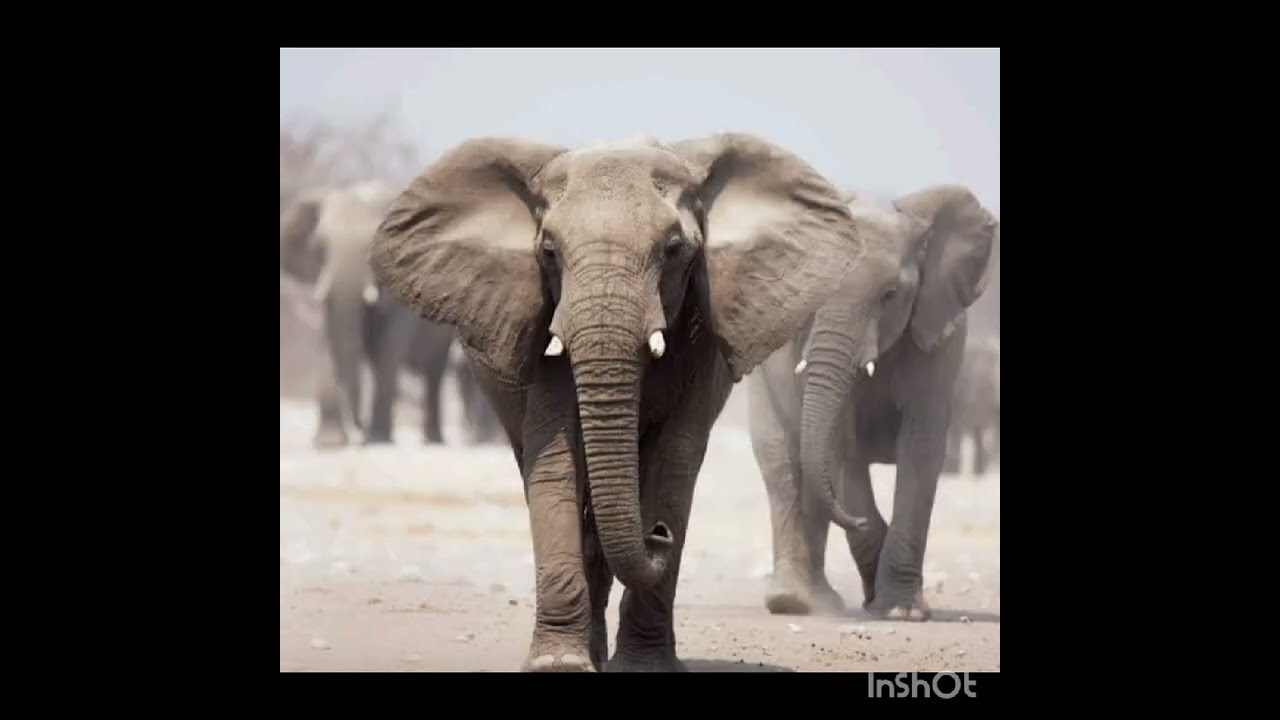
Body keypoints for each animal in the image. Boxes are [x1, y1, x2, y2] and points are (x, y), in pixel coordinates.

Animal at [280, 179, 475, 447]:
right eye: (318, 248)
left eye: (373, 247)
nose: (357, 431)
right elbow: (332, 341)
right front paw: (329, 444)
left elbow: (386, 348)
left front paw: (377, 440)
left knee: (433, 371)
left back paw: (433, 440)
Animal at [367, 133, 866, 672]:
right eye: (548, 251)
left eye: (674, 250)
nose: (659, 535)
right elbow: (555, 456)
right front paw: (559, 665)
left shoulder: (704, 332)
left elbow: (675, 459)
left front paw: (643, 666)